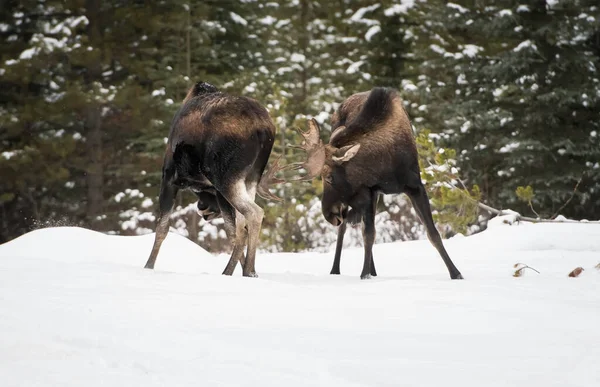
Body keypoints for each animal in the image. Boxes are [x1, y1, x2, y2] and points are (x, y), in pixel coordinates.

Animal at [145, 82, 286, 278]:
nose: (203, 209)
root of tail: (263, 128)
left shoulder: (169, 176)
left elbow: (162, 228)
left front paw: (148, 266)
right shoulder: (217, 192)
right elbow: (232, 231)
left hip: (223, 175)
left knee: (254, 213)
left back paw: (240, 271)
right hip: (250, 177)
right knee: (243, 224)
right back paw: (247, 271)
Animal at [290, 87, 464, 280]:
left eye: (329, 177)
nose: (328, 214)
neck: (384, 164)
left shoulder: (415, 186)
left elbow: (432, 233)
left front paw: (456, 273)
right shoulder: (369, 190)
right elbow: (368, 234)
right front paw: (364, 274)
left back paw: (372, 271)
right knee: (345, 229)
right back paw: (336, 270)